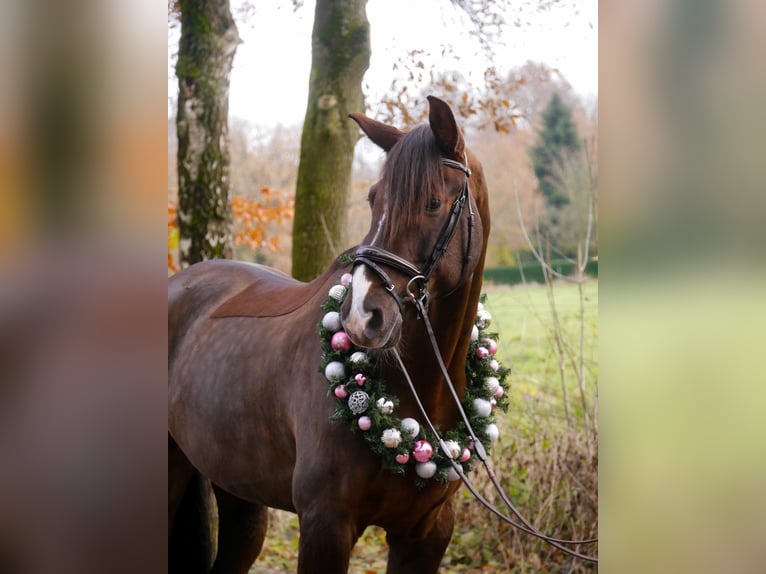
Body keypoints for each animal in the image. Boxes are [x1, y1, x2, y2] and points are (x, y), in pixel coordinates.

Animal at [168, 95, 491, 573]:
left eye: (433, 201)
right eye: (373, 199)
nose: (360, 316)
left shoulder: (427, 533)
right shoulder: (327, 524)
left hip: (237, 489)